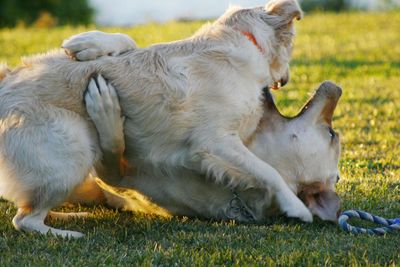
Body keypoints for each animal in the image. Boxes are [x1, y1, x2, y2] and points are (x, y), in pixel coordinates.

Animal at [0, 0, 340, 239]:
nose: (285, 81)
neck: (240, 41)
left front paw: (92, 45)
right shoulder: (215, 141)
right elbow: (268, 171)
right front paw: (295, 206)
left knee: (30, 211)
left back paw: (70, 216)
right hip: (74, 150)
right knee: (25, 220)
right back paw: (66, 232)